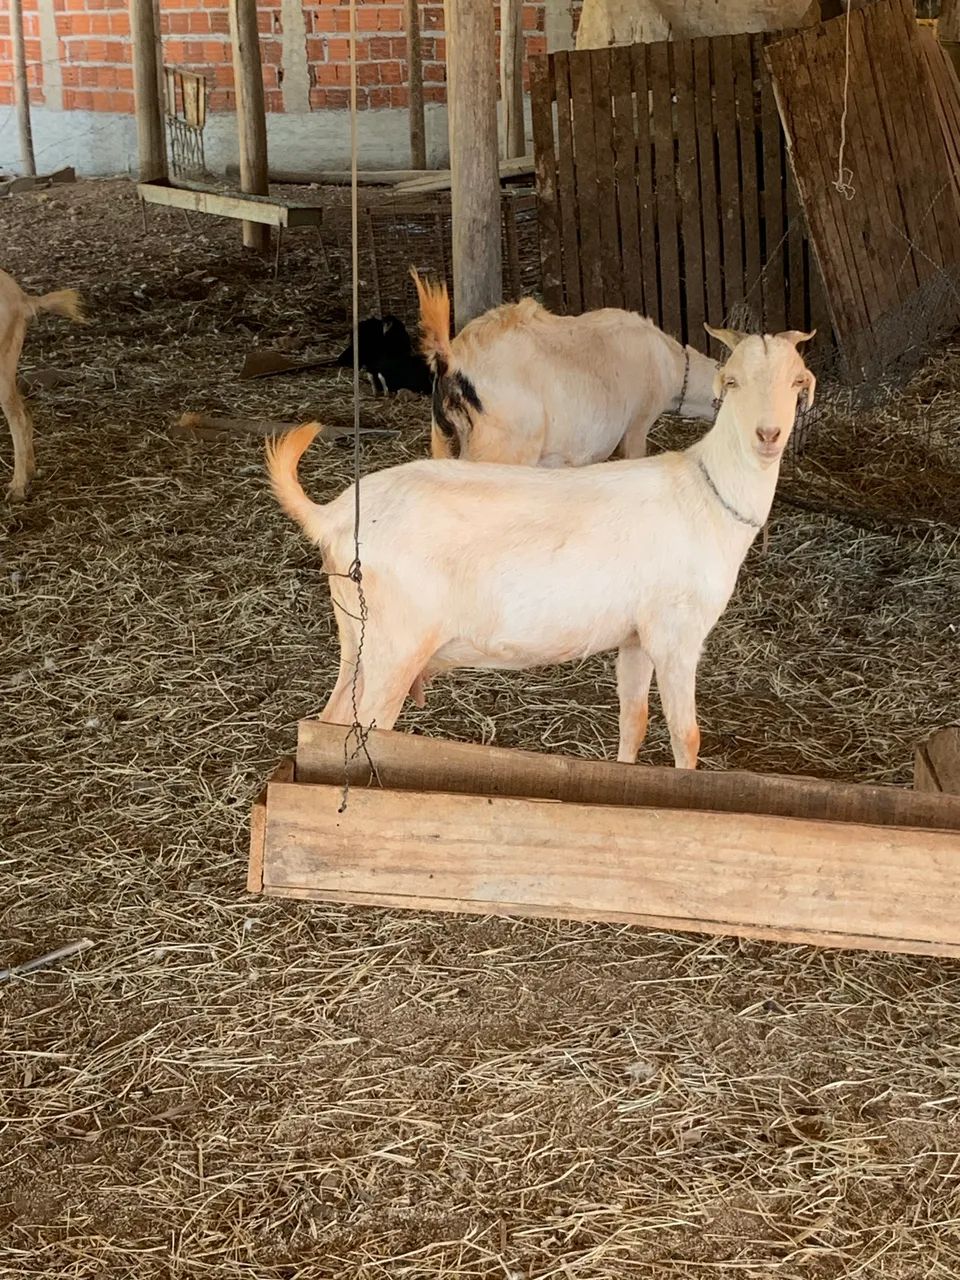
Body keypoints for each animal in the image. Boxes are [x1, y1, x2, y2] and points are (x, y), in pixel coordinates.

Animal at [266, 326, 814, 769]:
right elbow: (687, 737)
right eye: (733, 381)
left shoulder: (636, 636)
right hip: (394, 645)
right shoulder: (676, 635)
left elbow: (633, 720)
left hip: (357, 639)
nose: (768, 435)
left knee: (330, 719)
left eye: (795, 382)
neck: (707, 492)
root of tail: (333, 516)